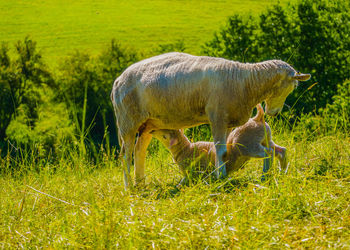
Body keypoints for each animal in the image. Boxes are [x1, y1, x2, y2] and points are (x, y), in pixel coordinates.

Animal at [152, 103, 286, 182]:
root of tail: (258, 118)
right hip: (266, 139)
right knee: (280, 151)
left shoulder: (191, 173)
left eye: (164, 135)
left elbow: (184, 181)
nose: (152, 130)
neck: (185, 148)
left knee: (268, 153)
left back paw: (264, 176)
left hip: (248, 146)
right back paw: (283, 171)